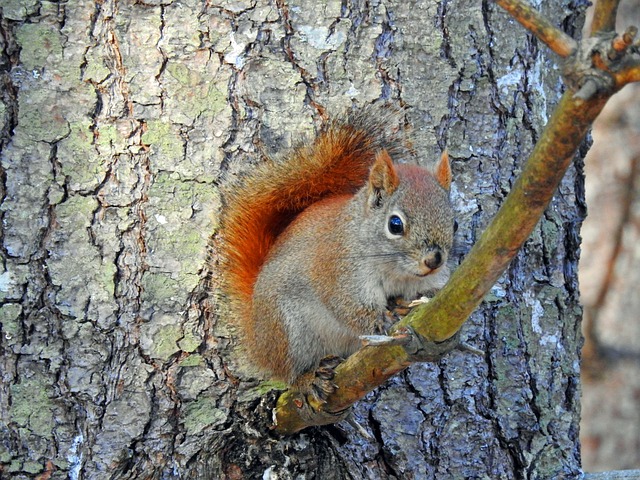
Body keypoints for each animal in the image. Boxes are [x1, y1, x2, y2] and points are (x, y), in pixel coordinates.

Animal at [220, 107, 456, 396]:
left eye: (454, 223)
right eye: (395, 224)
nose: (434, 260)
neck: (396, 271)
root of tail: (257, 337)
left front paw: (411, 305)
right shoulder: (338, 272)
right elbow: (348, 307)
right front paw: (381, 321)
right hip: (289, 331)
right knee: (288, 372)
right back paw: (307, 379)